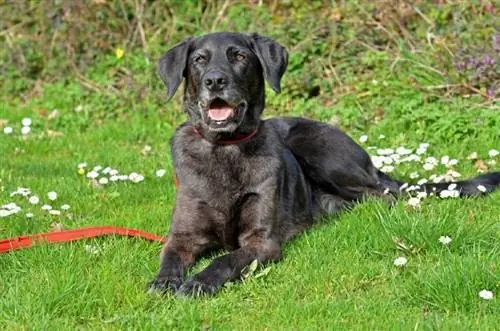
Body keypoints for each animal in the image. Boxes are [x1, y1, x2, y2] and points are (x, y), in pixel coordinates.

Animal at [149, 32, 500, 296]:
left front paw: (199, 282)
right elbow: (169, 256)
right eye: (199, 60)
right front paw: (164, 281)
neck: (225, 147)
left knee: (384, 195)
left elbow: (225, 260)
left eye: (239, 57)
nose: (215, 81)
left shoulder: (262, 242)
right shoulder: (182, 236)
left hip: (317, 147)